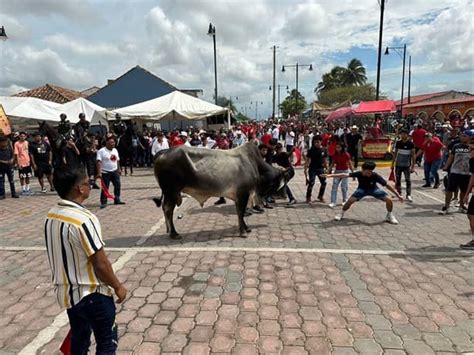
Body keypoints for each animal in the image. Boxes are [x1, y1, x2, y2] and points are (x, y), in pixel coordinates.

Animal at [154, 142, 290, 239]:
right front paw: (243, 231)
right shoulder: (243, 193)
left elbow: (239, 213)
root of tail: (164, 152)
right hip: (171, 192)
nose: (284, 196)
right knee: (168, 210)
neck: (254, 165)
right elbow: (241, 212)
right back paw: (174, 233)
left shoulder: (239, 196)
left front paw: (245, 228)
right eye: (282, 182)